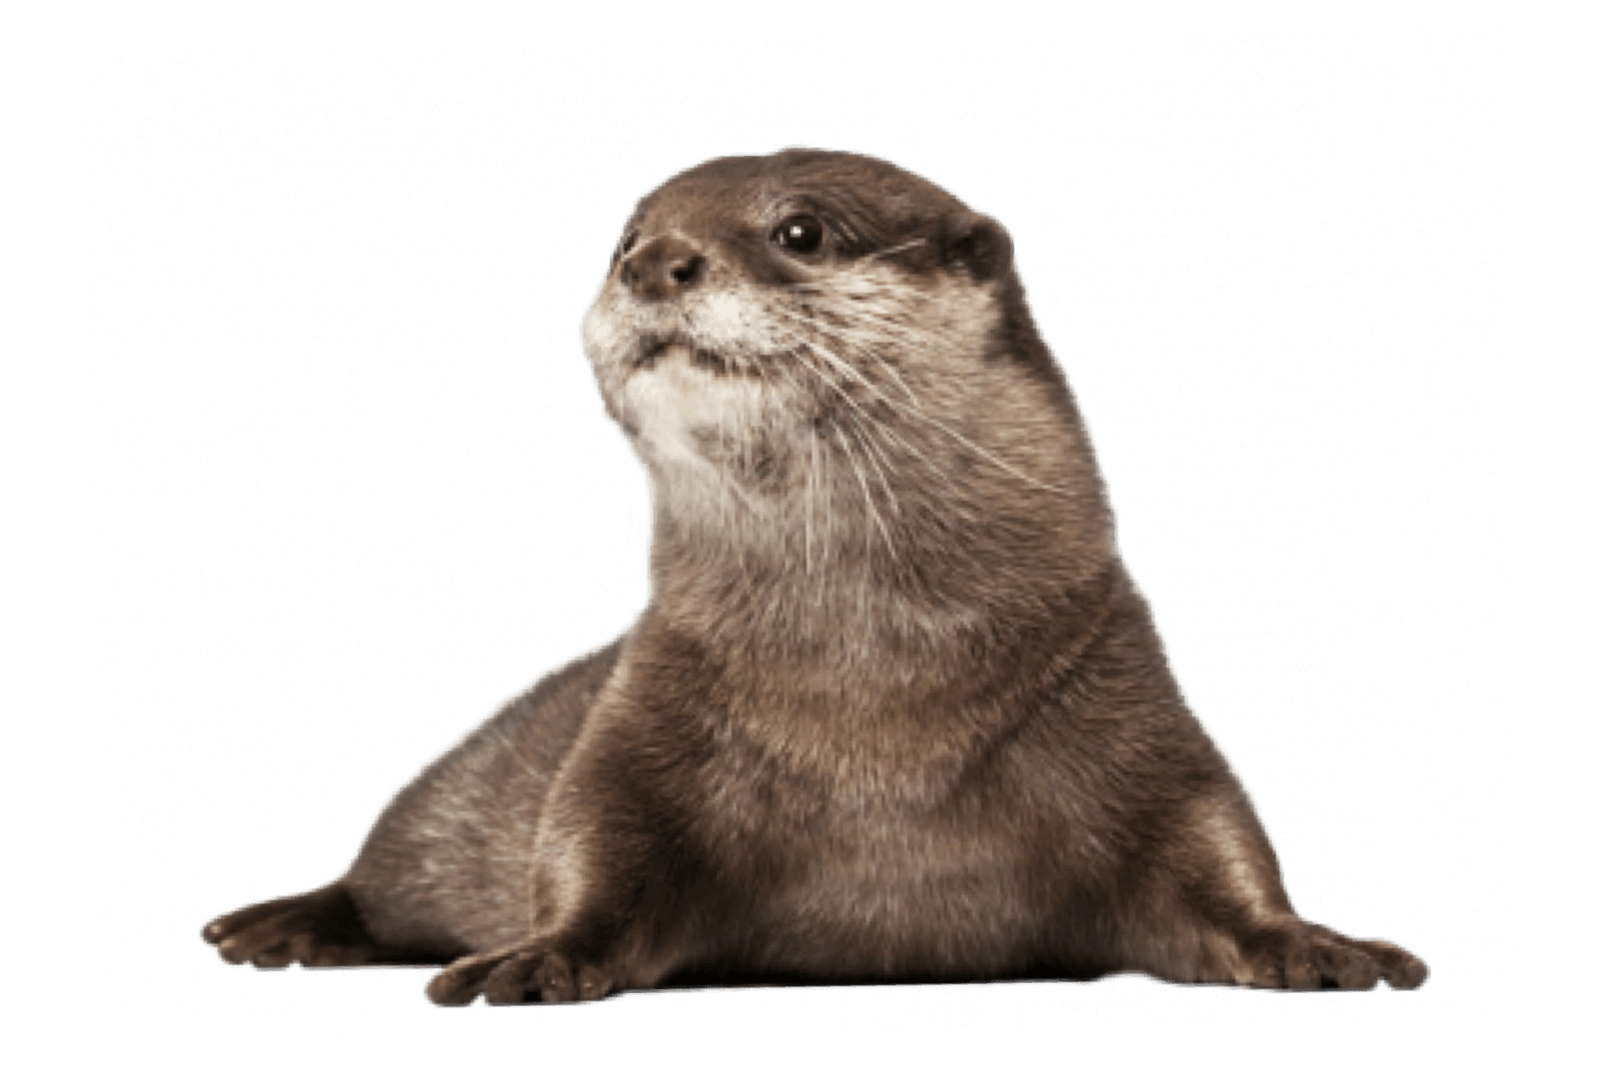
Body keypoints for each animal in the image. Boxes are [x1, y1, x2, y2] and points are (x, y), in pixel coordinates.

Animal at [200, 145, 1430, 1004]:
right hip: (444, 797)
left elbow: (1219, 847)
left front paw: (1321, 944)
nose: (655, 262)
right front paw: (534, 956)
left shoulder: (1125, 697)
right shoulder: (639, 725)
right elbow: (589, 846)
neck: (876, 715)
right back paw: (273, 927)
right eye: (626, 235)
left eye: (799, 229)